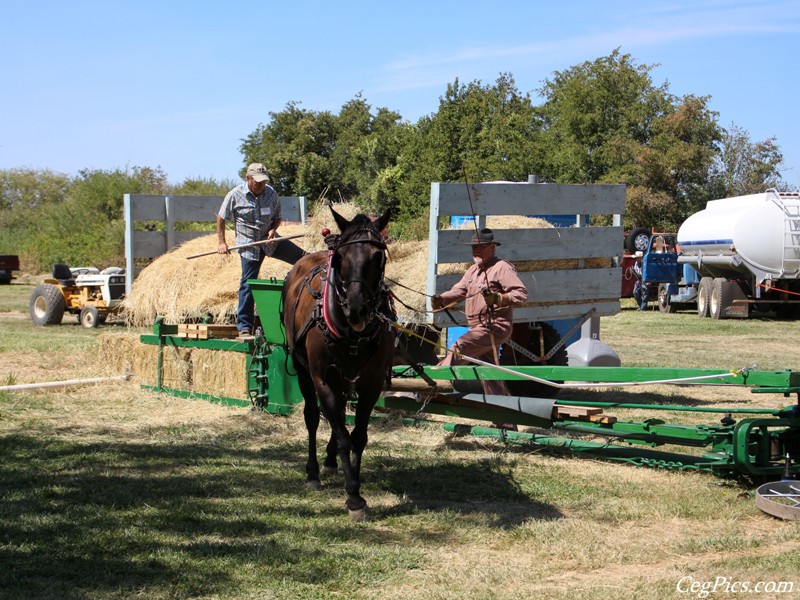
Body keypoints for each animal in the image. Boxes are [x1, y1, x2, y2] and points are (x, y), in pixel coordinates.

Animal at [282, 207, 394, 520]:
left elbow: (358, 436)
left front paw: (353, 483)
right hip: (304, 371)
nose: (357, 309)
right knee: (312, 416)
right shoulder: (322, 378)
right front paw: (354, 497)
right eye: (341, 257)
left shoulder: (371, 383)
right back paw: (314, 473)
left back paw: (331, 461)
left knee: (339, 414)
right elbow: (342, 434)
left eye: (378, 256)